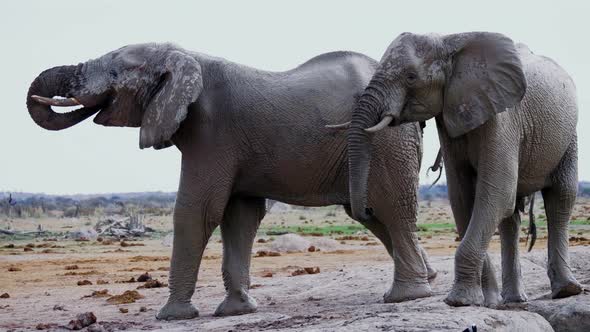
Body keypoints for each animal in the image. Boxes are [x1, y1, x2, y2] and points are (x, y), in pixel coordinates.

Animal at [26, 42, 434, 320]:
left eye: (114, 75)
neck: (182, 55)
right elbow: (239, 216)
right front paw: (237, 310)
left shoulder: (211, 132)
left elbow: (197, 211)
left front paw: (172, 317)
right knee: (367, 211)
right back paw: (426, 279)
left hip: (386, 140)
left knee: (390, 208)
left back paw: (407, 296)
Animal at [336, 32, 584, 308]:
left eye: (411, 77)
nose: (367, 210)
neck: (450, 42)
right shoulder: (450, 118)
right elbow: (463, 197)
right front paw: (484, 302)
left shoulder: (503, 118)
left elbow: (495, 194)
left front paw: (459, 301)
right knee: (511, 218)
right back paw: (513, 301)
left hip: (568, 136)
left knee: (561, 198)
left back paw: (566, 291)